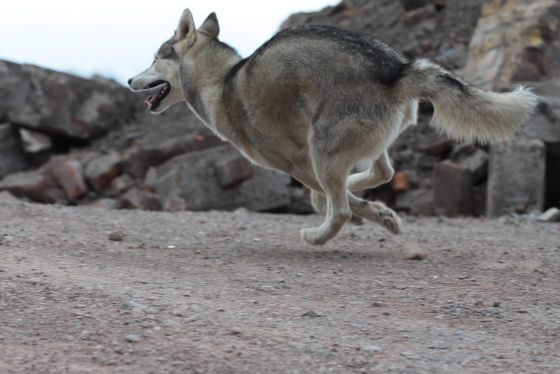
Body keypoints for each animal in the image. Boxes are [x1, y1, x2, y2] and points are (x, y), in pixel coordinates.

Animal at [128, 8, 540, 245]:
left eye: (154, 58)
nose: (130, 80)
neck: (223, 80)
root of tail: (395, 70)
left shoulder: (296, 165)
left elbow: (332, 201)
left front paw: (370, 214)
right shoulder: (306, 164)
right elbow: (341, 195)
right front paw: (382, 214)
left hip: (324, 150)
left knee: (341, 205)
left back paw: (317, 237)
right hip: (356, 145)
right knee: (382, 172)